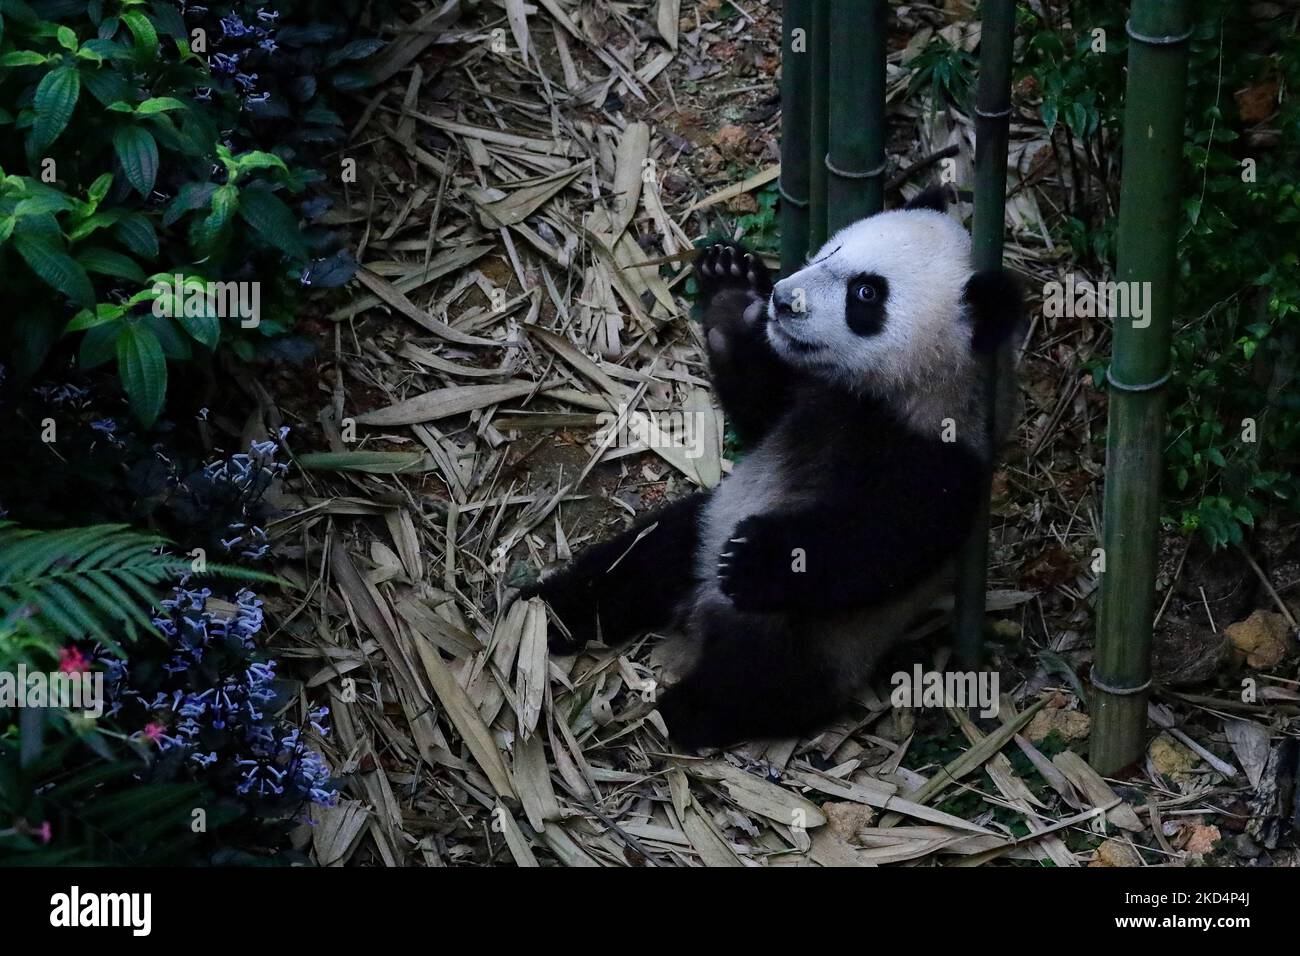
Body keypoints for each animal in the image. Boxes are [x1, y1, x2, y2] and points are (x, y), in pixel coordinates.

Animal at [523, 187, 1024, 749]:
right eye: (833, 249)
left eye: (866, 293)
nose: (784, 300)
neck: (878, 395)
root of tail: (699, 614)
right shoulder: (802, 394)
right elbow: (760, 411)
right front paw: (730, 291)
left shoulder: (944, 454)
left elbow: (884, 542)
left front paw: (755, 559)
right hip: (703, 528)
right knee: (641, 559)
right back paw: (549, 611)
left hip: (819, 639)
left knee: (760, 681)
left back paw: (679, 711)